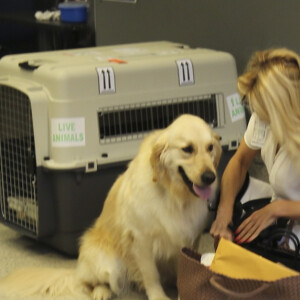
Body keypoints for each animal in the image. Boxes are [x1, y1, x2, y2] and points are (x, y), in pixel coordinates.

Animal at [0, 113, 220, 298]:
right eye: (187, 149)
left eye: (210, 148)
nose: (210, 177)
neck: (174, 195)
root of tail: (76, 271)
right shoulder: (141, 239)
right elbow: (151, 275)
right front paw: (159, 296)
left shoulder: (191, 237)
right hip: (108, 264)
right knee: (91, 284)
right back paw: (101, 292)